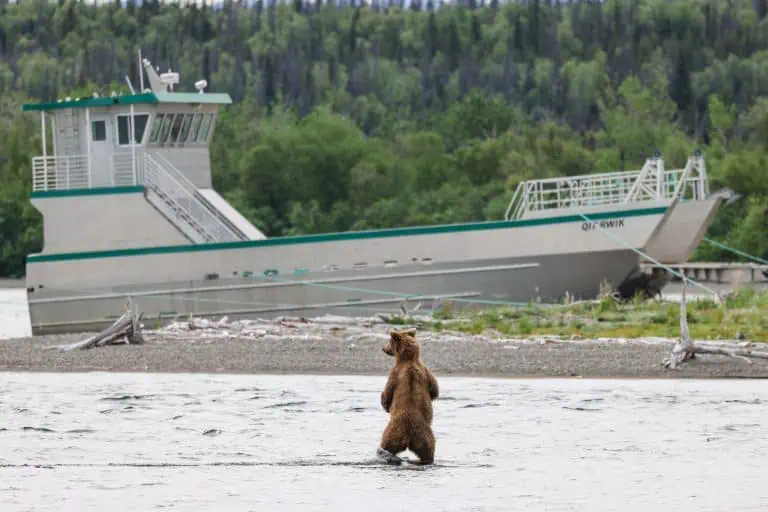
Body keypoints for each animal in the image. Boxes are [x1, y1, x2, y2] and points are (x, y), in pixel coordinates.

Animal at [376, 326, 438, 466]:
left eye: (389, 341)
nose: (383, 348)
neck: (409, 359)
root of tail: (409, 435)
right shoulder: (426, 371)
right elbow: (435, 390)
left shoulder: (394, 373)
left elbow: (388, 393)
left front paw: (384, 401)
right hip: (425, 437)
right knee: (428, 451)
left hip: (394, 431)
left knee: (386, 443)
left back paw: (383, 453)